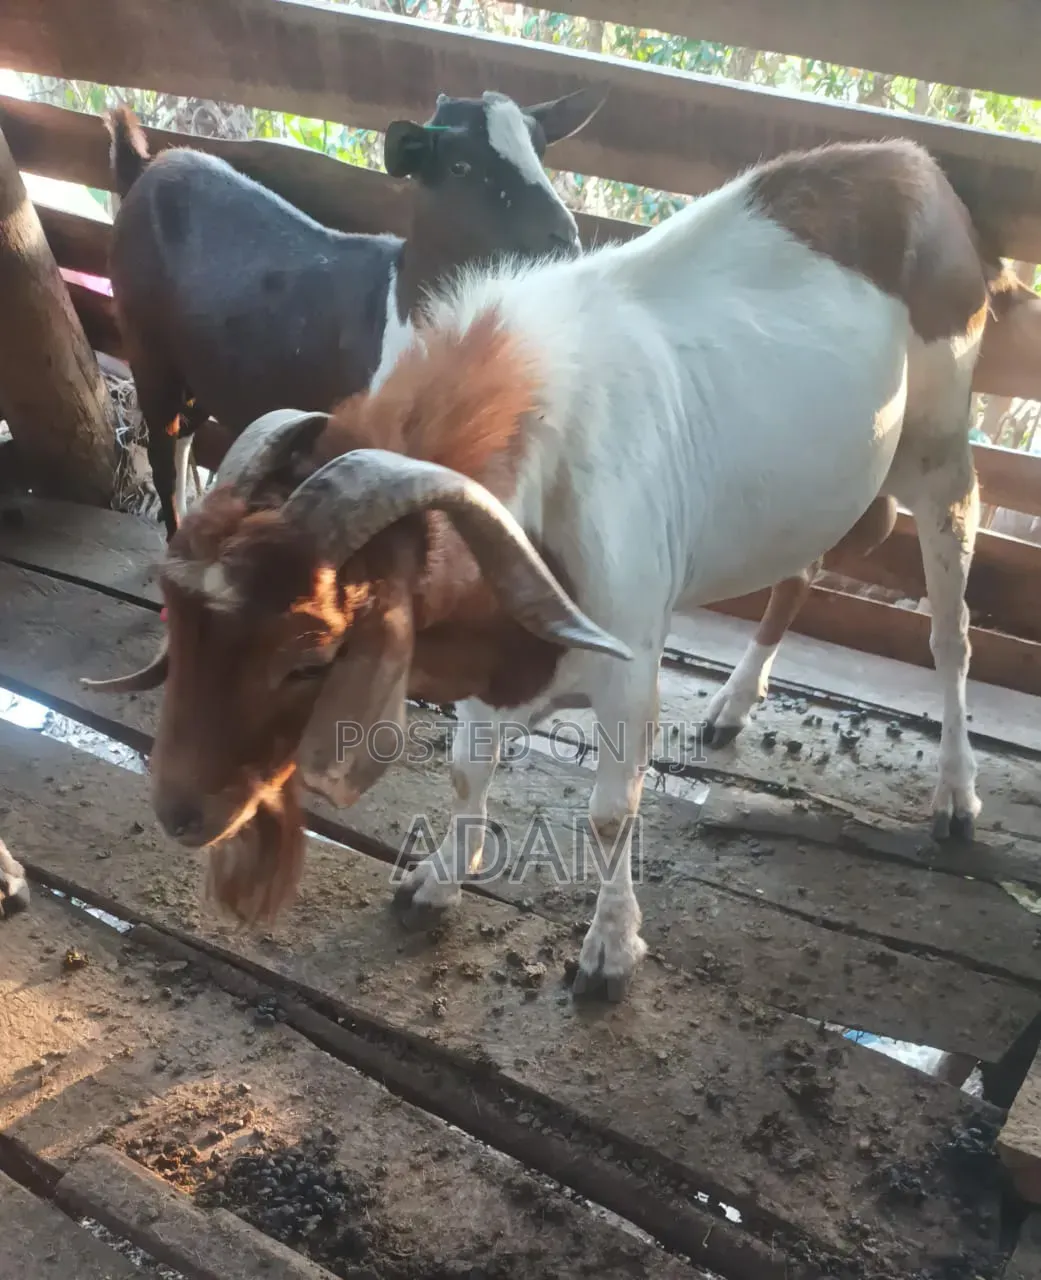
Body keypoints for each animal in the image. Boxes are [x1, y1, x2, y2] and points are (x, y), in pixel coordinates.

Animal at [93, 136, 1015, 1002]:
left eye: (309, 657)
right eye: (180, 618)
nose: (179, 812)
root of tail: (912, 163)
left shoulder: (630, 665)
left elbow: (611, 813)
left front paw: (610, 950)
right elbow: (468, 765)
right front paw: (437, 881)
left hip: (940, 450)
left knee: (951, 630)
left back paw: (955, 797)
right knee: (804, 566)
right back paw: (731, 706)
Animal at [104, 86, 604, 540]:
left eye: (540, 151)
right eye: (460, 166)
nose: (565, 239)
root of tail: (147, 166)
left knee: (185, 433)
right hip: (145, 340)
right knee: (163, 448)